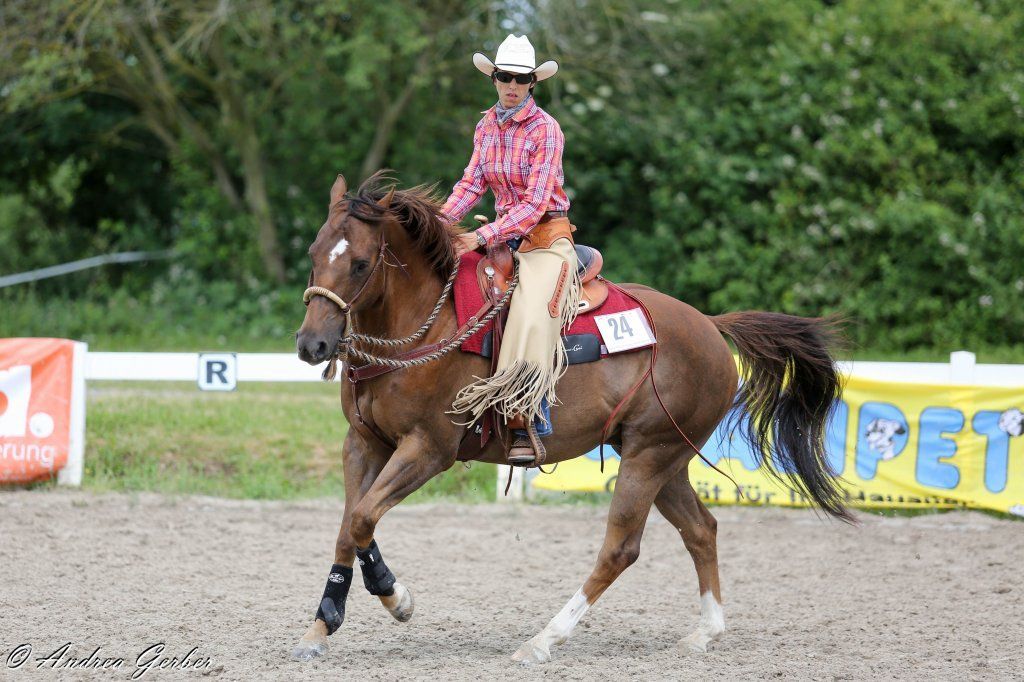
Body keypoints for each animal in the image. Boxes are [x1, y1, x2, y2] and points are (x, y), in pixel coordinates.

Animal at [293, 172, 851, 664]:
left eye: (360, 263)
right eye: (314, 255)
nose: (311, 345)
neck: (429, 321)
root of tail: (711, 327)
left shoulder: (429, 448)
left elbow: (363, 517)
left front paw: (397, 598)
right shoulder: (363, 442)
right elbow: (349, 525)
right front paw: (320, 628)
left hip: (650, 456)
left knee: (621, 548)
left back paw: (542, 641)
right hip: (663, 458)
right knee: (701, 528)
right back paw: (704, 633)